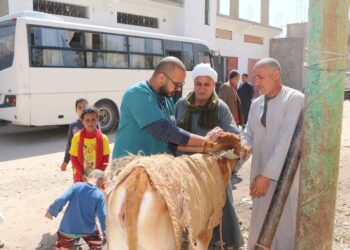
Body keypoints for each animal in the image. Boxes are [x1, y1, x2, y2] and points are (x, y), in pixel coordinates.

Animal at [105, 132, 247, 249]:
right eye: (238, 139)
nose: (247, 149)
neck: (217, 163)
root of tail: (137, 181)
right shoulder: (206, 229)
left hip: (117, 241)